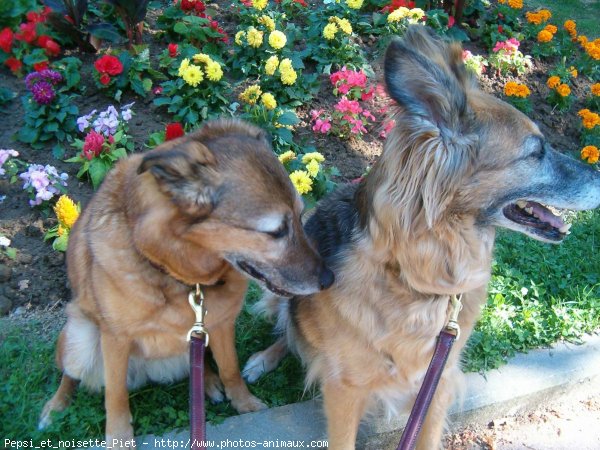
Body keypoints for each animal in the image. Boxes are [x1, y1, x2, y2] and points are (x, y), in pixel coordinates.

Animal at [39, 118, 336, 446]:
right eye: (276, 231)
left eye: (300, 215)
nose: (329, 278)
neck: (181, 276)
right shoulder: (115, 338)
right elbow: (115, 398)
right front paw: (118, 439)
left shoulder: (220, 324)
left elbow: (230, 368)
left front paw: (244, 404)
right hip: (80, 338)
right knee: (70, 374)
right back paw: (54, 408)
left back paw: (208, 383)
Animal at [243, 26, 600, 448]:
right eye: (536, 152)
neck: (414, 277)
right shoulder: (344, 389)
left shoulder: (439, 379)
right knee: (288, 324)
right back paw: (261, 360)